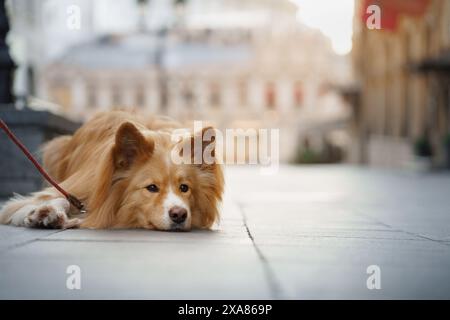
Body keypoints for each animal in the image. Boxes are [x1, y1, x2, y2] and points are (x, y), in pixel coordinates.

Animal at [0, 111, 224, 231]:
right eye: (151, 188)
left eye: (184, 188)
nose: (179, 214)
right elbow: (52, 198)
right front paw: (46, 213)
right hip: (55, 148)